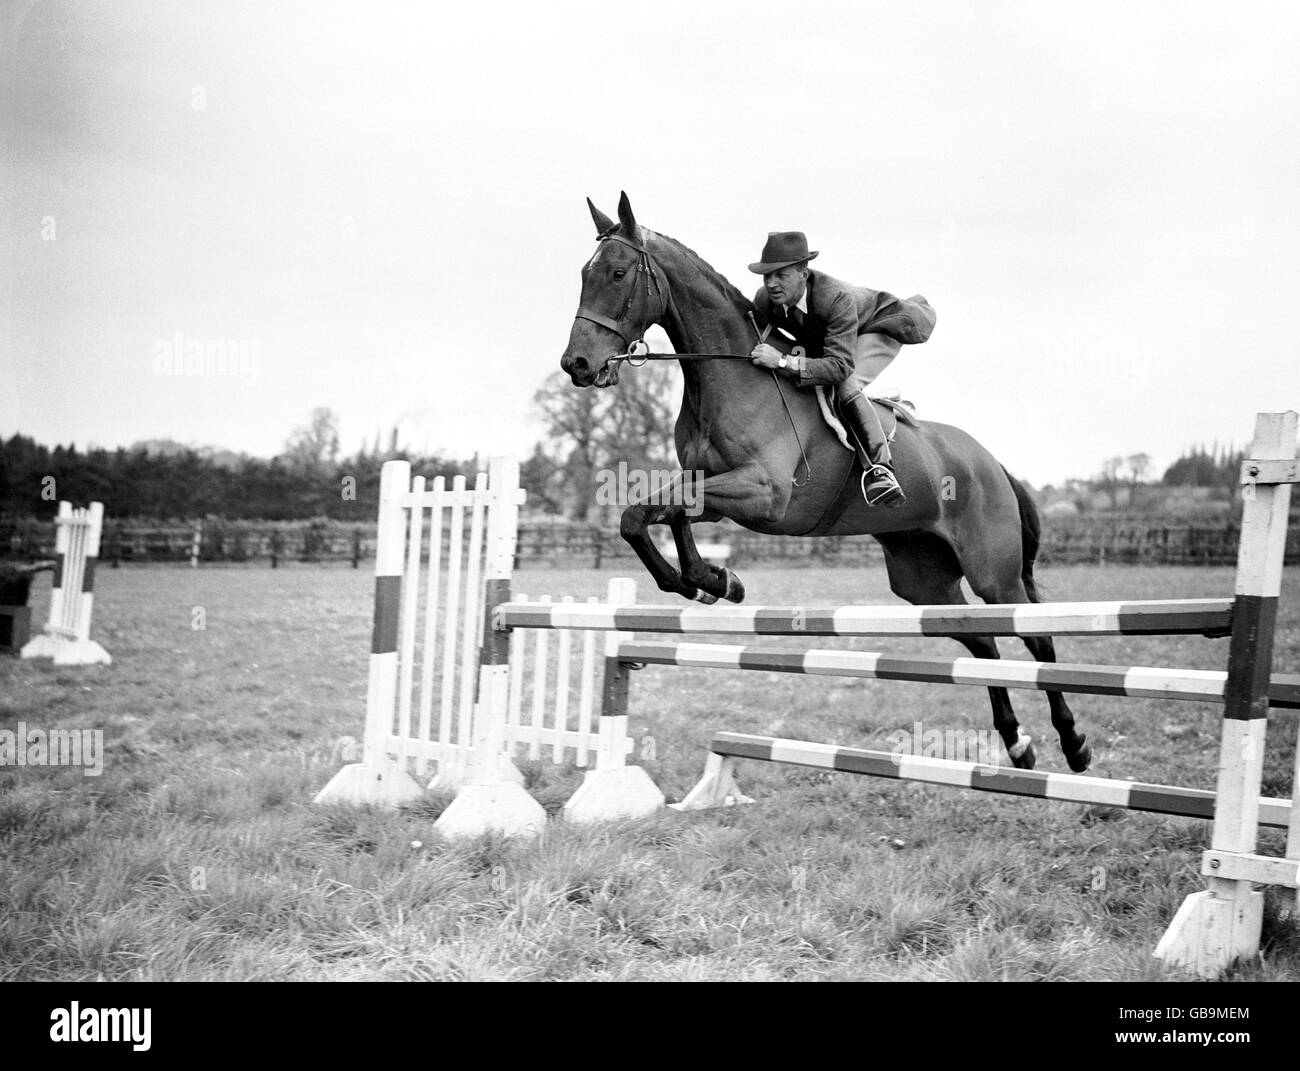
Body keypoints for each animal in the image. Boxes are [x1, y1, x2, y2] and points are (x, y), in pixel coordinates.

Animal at [560, 192, 1090, 773]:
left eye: (617, 273)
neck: (730, 375)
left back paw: (1074, 744)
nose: (577, 364)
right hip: (923, 579)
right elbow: (652, 514)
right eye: (583, 274)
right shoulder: (711, 486)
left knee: (1036, 640)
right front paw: (713, 582)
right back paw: (1018, 743)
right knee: (985, 644)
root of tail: (992, 463)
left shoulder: (763, 495)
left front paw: (706, 580)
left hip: (994, 574)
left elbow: (653, 513)